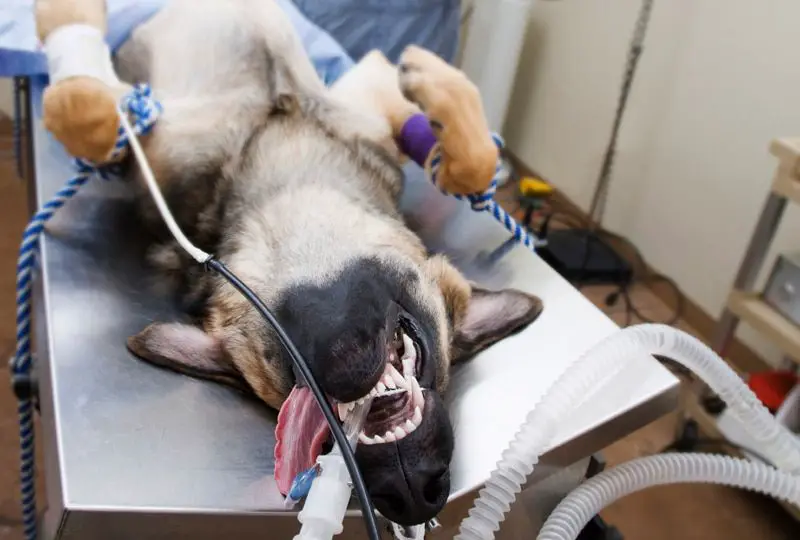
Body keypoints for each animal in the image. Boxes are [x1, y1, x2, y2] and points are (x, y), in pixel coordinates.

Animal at [114, 0, 544, 524]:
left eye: (438, 380)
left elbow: (475, 164)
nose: (412, 492)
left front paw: (429, 78)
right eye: (321, 438)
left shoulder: (367, 103)